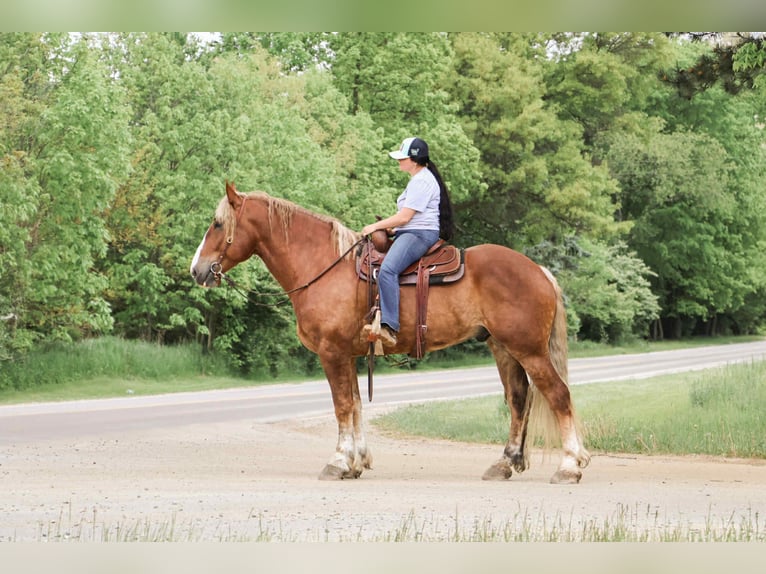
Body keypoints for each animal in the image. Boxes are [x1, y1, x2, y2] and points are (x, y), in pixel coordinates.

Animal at [190, 181, 590, 484]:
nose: (197, 270)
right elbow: (354, 405)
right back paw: (505, 463)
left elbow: (342, 406)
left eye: (218, 224)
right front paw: (356, 462)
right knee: (519, 399)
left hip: (529, 350)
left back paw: (569, 467)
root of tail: (539, 270)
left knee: (558, 395)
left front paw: (338, 462)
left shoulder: (332, 353)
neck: (324, 267)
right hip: (504, 348)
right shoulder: (349, 354)